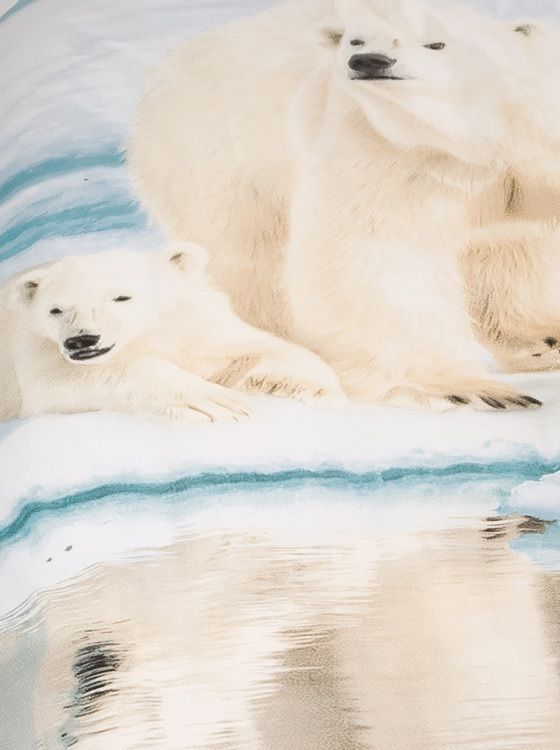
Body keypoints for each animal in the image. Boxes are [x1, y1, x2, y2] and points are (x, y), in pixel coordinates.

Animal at [0, 242, 345, 423]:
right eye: (55, 309)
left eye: (121, 296)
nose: (81, 340)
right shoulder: (34, 348)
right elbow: (62, 382)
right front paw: (215, 402)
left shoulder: (197, 328)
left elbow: (252, 352)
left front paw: (320, 389)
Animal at [128, 0, 560, 410]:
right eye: (356, 40)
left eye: (436, 43)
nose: (369, 62)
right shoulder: (383, 147)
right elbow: (377, 253)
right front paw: (464, 389)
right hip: (219, 163)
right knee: (249, 267)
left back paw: (541, 339)